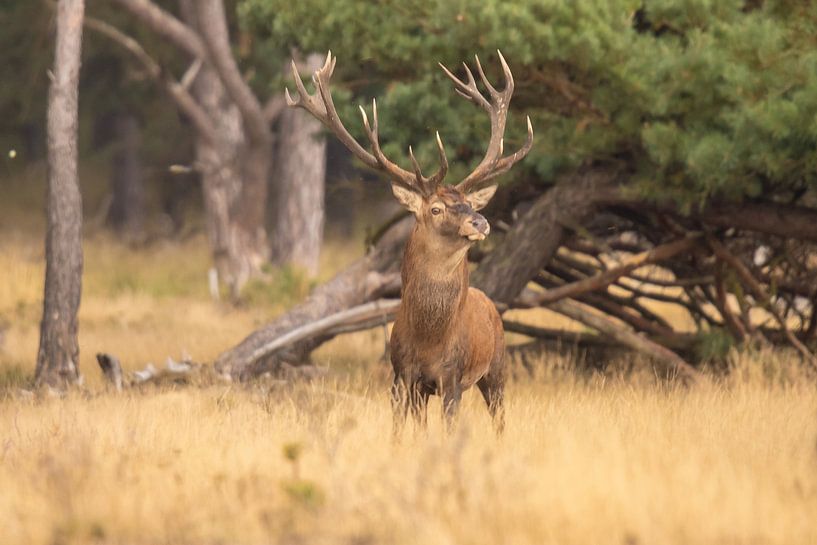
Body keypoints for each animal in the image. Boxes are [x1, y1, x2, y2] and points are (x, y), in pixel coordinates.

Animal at [286, 51, 533, 433]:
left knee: (500, 419)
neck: (429, 340)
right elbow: (403, 431)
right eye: (435, 208)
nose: (481, 221)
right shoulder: (402, 376)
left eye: (470, 203)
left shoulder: (451, 377)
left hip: (497, 366)